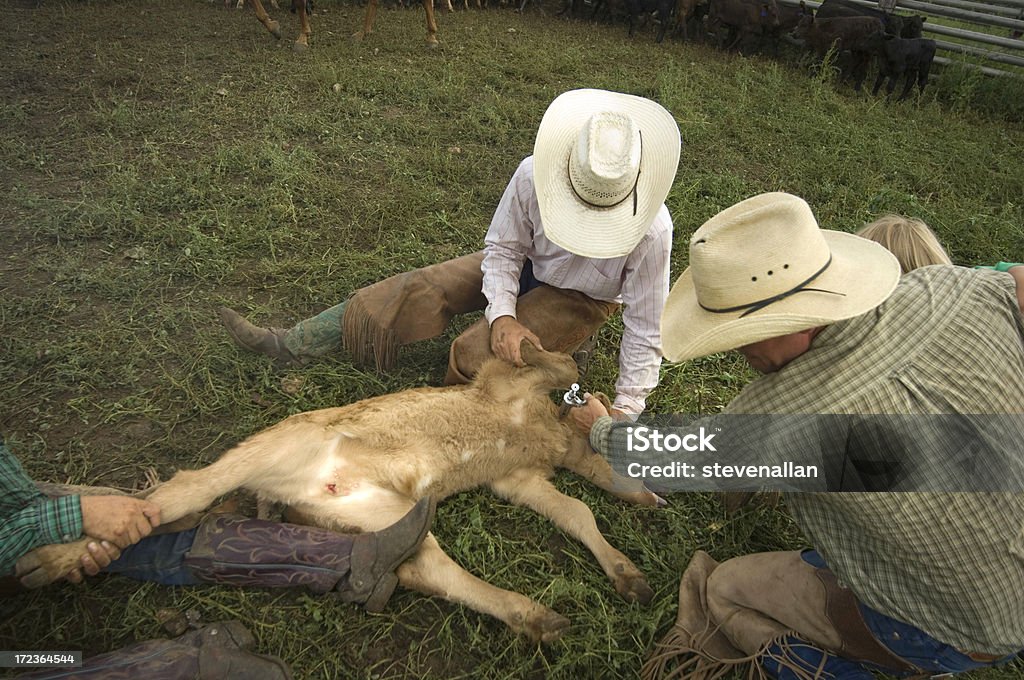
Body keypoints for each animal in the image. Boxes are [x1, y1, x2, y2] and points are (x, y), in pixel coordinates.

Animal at [18, 346, 663, 643]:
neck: (543, 431)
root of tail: (307, 492)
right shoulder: (502, 386)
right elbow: (560, 362)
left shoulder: (517, 478)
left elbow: (575, 511)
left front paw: (629, 568)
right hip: (268, 449)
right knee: (177, 495)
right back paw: (48, 558)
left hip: (386, 517)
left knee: (432, 570)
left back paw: (534, 617)